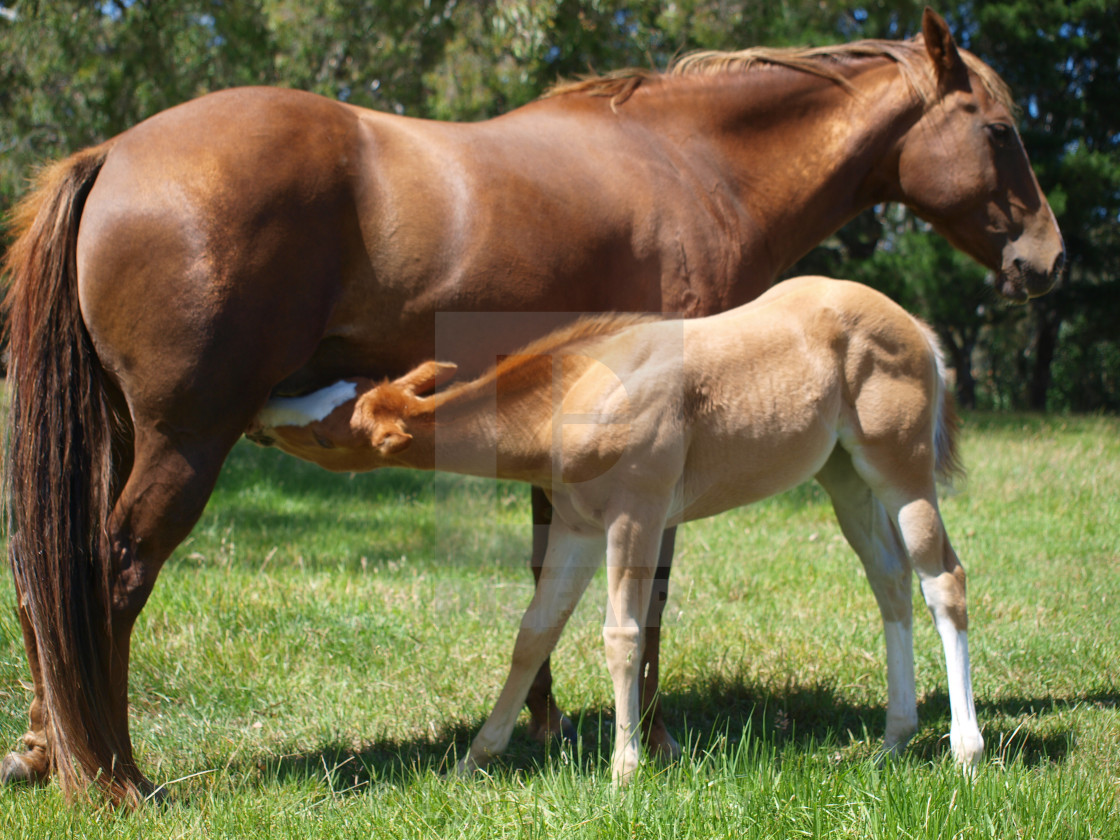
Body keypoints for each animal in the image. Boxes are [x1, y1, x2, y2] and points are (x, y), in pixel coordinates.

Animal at [252, 280, 981, 788]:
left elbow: (622, 635)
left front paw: (625, 768)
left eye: (327, 432)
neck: (573, 399)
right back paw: (892, 740)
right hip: (844, 479)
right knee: (890, 582)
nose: (260, 410)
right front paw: (475, 758)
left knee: (942, 580)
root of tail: (917, 327)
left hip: (901, 470)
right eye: (334, 389)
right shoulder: (576, 528)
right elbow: (533, 635)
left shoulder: (637, 516)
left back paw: (964, 750)